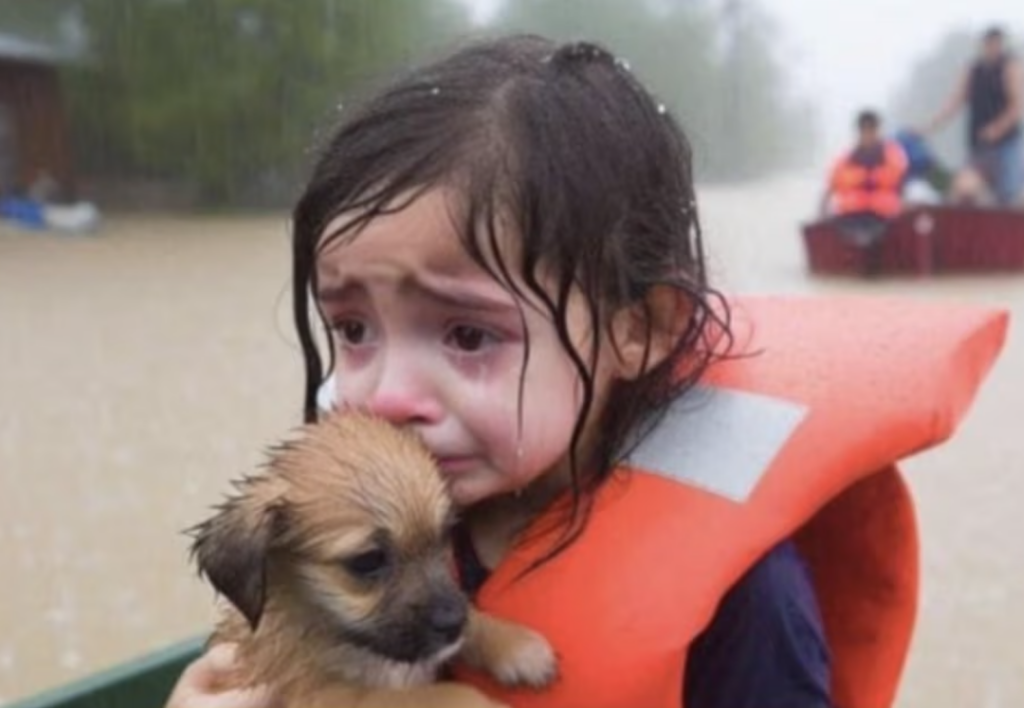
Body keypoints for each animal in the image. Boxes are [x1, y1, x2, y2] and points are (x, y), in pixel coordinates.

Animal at [188, 411, 557, 708]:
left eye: (444, 536)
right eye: (368, 561)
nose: (453, 623)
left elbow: (472, 620)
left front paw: (517, 647)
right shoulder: (330, 697)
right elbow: (434, 696)